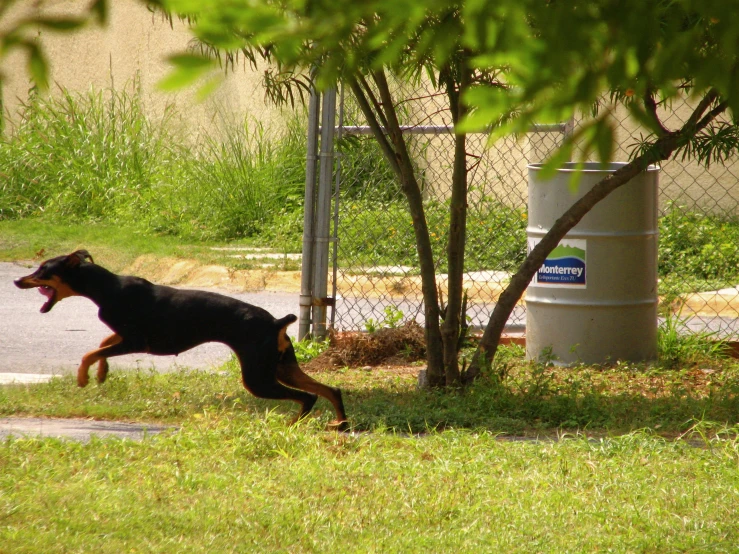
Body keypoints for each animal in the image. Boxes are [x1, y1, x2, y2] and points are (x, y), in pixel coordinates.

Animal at [13, 250, 350, 426]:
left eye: (43, 270)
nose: (16, 280)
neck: (107, 287)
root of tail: (276, 322)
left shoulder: (137, 342)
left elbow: (91, 352)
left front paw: (83, 377)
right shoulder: (124, 338)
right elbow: (101, 347)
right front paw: (101, 373)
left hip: (258, 377)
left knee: (307, 396)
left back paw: (295, 423)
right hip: (282, 367)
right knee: (329, 390)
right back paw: (340, 424)